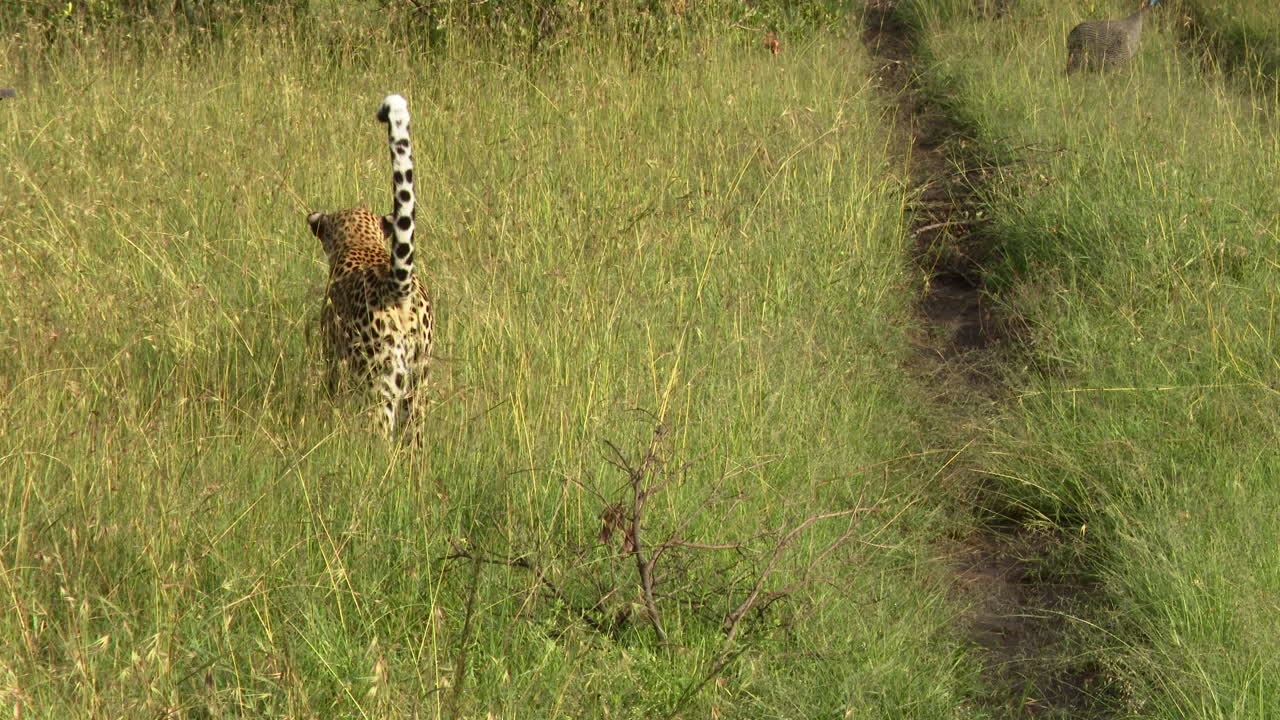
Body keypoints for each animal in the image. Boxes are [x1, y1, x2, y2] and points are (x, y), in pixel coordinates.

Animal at [307, 94, 433, 442]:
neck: (360, 242)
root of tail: (399, 290)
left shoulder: (334, 357)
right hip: (419, 379)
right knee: (415, 438)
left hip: (381, 379)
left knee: (380, 431)